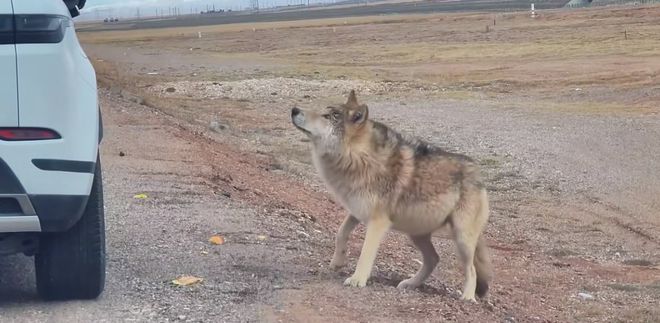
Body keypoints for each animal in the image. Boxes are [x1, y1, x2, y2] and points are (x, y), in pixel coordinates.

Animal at [292, 90, 492, 302]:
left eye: (327, 116)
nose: (294, 110)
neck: (359, 157)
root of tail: (478, 174)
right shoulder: (356, 210)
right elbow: (341, 233)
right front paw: (338, 262)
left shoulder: (378, 222)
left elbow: (365, 252)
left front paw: (357, 280)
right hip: (417, 234)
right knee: (433, 259)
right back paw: (410, 283)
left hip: (461, 239)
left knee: (471, 270)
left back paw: (468, 297)